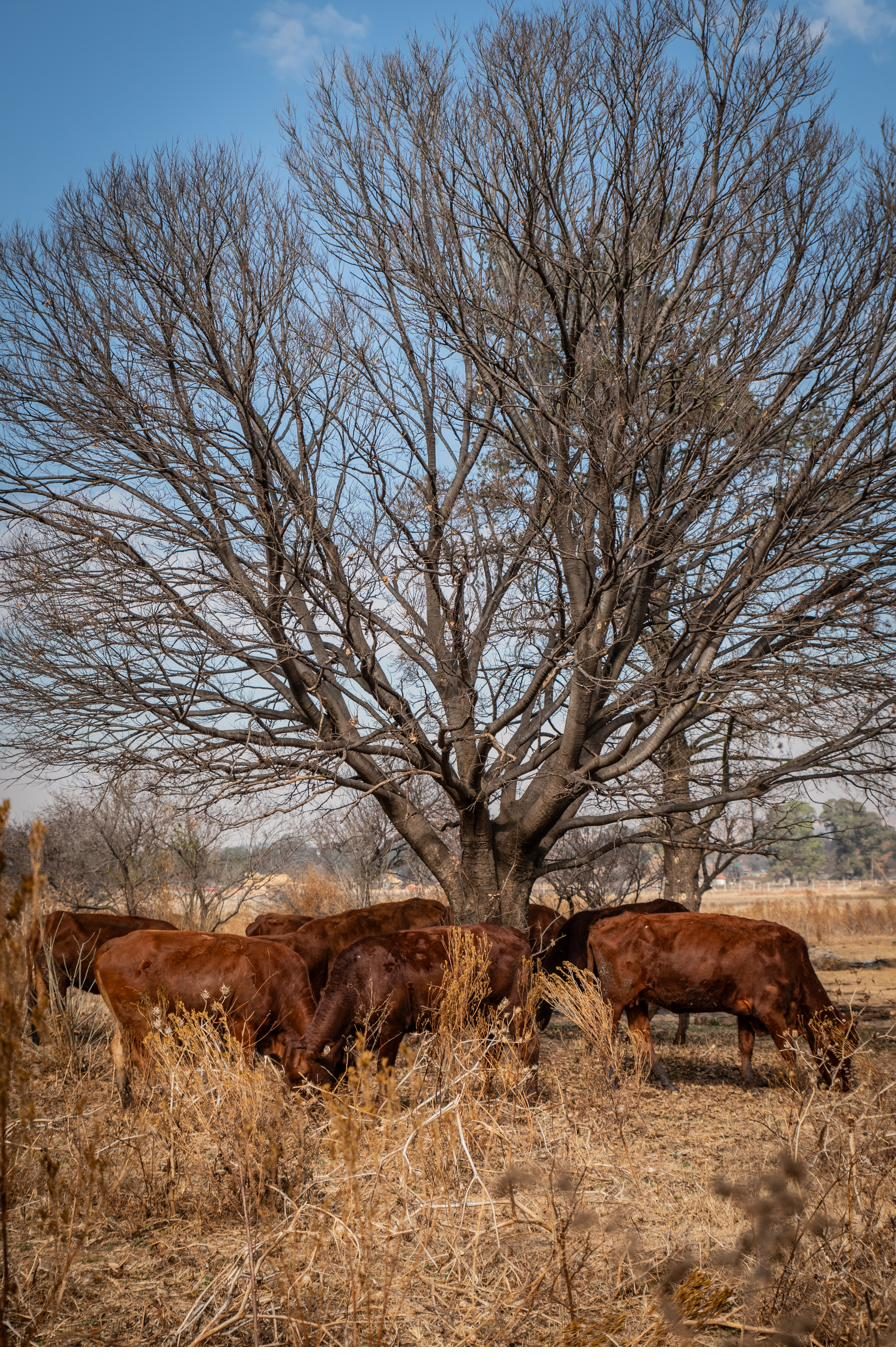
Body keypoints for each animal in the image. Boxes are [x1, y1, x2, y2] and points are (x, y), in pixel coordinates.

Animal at [94, 930, 318, 1105]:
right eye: (304, 1074)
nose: (312, 1104)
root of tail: (114, 944)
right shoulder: (242, 1029)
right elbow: (245, 1066)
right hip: (142, 1023)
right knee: (143, 1059)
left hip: (123, 1023)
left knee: (118, 1051)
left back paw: (128, 1101)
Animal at [285, 924, 538, 1091]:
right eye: (289, 1078)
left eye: (305, 1078)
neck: (359, 977)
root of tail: (517, 936)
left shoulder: (392, 1030)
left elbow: (384, 1072)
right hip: (486, 1016)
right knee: (491, 1050)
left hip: (515, 1009)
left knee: (528, 1046)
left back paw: (529, 1094)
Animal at [585, 910, 854, 1091]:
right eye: (840, 1045)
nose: (847, 1084)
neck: (792, 962)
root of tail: (604, 922)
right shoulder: (771, 1013)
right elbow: (788, 1052)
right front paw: (800, 1086)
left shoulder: (746, 1012)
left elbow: (746, 1046)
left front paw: (751, 1081)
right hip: (614, 1002)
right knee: (605, 1034)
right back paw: (613, 1080)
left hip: (637, 1000)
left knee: (642, 1037)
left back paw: (666, 1082)